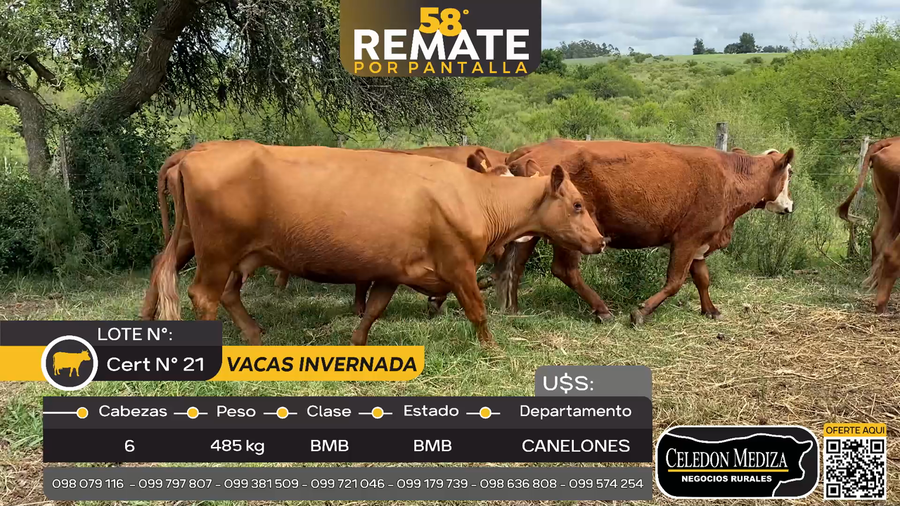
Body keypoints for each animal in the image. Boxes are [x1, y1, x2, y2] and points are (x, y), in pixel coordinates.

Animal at [494, 139, 795, 326]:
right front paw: (641, 312)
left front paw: (710, 310)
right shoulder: (688, 238)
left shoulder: (699, 242)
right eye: (790, 173)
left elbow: (702, 279)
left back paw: (512, 309)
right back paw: (602, 310)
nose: (790, 206)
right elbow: (675, 282)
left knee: (514, 265)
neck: (729, 176)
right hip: (569, 234)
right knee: (565, 270)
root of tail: (528, 150)